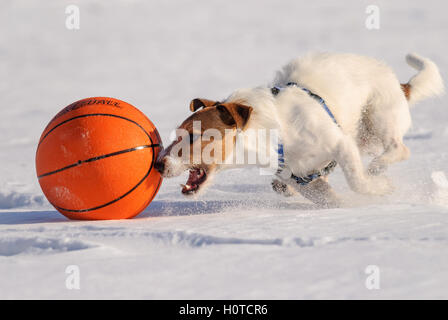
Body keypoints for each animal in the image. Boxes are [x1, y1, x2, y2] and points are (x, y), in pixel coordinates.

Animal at [155, 52, 444, 208]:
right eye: (176, 135)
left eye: (193, 136)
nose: (158, 164)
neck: (277, 133)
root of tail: (401, 85)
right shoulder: (304, 178)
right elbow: (329, 197)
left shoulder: (341, 144)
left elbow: (357, 181)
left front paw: (380, 188)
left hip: (377, 118)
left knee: (399, 148)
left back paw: (378, 166)